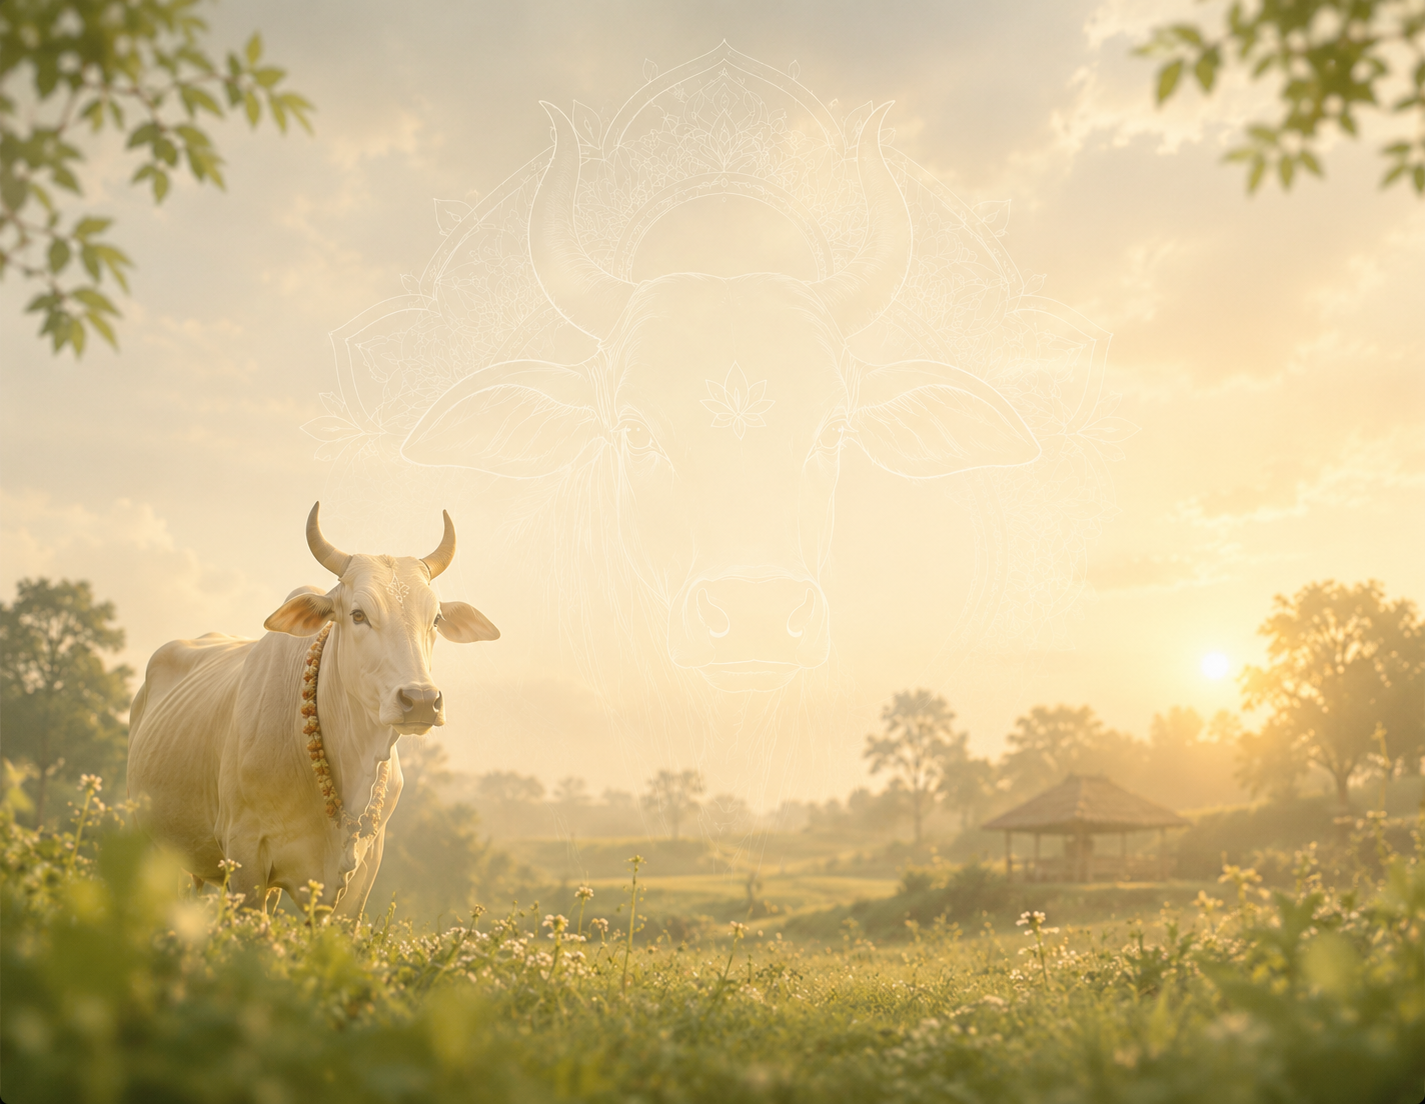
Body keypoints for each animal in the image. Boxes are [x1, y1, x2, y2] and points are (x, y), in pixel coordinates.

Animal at [126, 505, 500, 916]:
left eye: (435, 619)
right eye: (357, 614)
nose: (420, 700)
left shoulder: (360, 876)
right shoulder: (244, 855)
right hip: (148, 840)